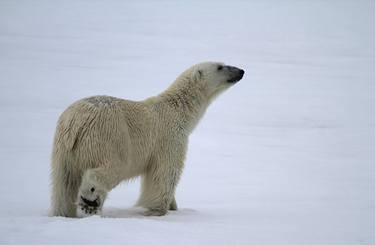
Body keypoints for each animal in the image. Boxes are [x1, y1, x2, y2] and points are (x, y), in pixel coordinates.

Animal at [50, 61, 245, 216]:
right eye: (220, 66)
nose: (241, 71)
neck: (179, 110)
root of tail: (76, 121)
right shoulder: (170, 138)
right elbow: (166, 173)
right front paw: (158, 209)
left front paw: (174, 206)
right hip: (109, 137)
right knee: (111, 168)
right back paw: (90, 200)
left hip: (63, 148)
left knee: (63, 183)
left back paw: (64, 213)